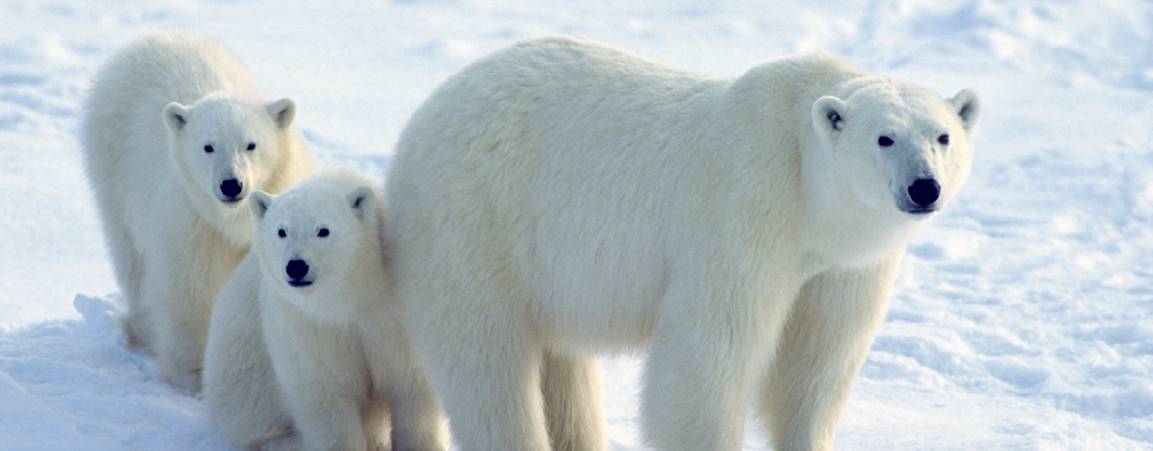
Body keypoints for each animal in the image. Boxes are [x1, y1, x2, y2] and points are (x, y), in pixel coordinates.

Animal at [80, 34, 315, 392]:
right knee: (131, 257)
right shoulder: (192, 222)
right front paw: (193, 377)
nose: (231, 185)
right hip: (111, 169)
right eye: (208, 146)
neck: (232, 221)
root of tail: (149, 40)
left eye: (251, 144)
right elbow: (189, 291)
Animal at [389, 38, 982, 451]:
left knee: (561, 367)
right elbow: (710, 352)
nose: (923, 187)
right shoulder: (744, 212)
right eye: (884, 138)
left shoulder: (846, 266)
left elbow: (819, 361)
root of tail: (423, 116)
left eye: (943, 135)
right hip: (475, 224)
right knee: (487, 361)